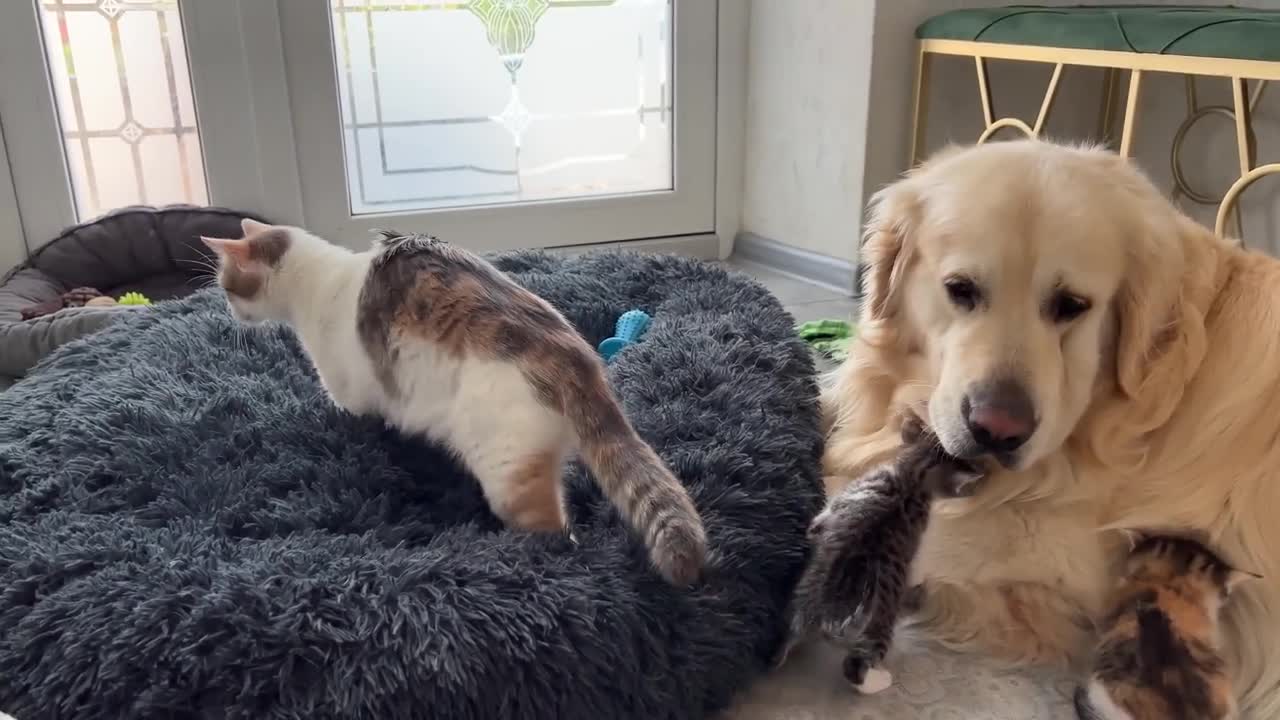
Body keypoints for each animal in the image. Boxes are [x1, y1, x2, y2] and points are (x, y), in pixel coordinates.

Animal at [197, 221, 711, 586]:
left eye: (226, 285)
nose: (228, 311)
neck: (319, 279)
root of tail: (574, 361)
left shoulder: (351, 395)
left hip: (505, 472)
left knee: (553, 530)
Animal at [773, 412, 983, 691]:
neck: (911, 479)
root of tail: (829, 618)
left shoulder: (831, 512)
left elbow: (817, 524)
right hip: (878, 627)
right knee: (856, 668)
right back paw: (883, 680)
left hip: (799, 604)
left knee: (788, 638)